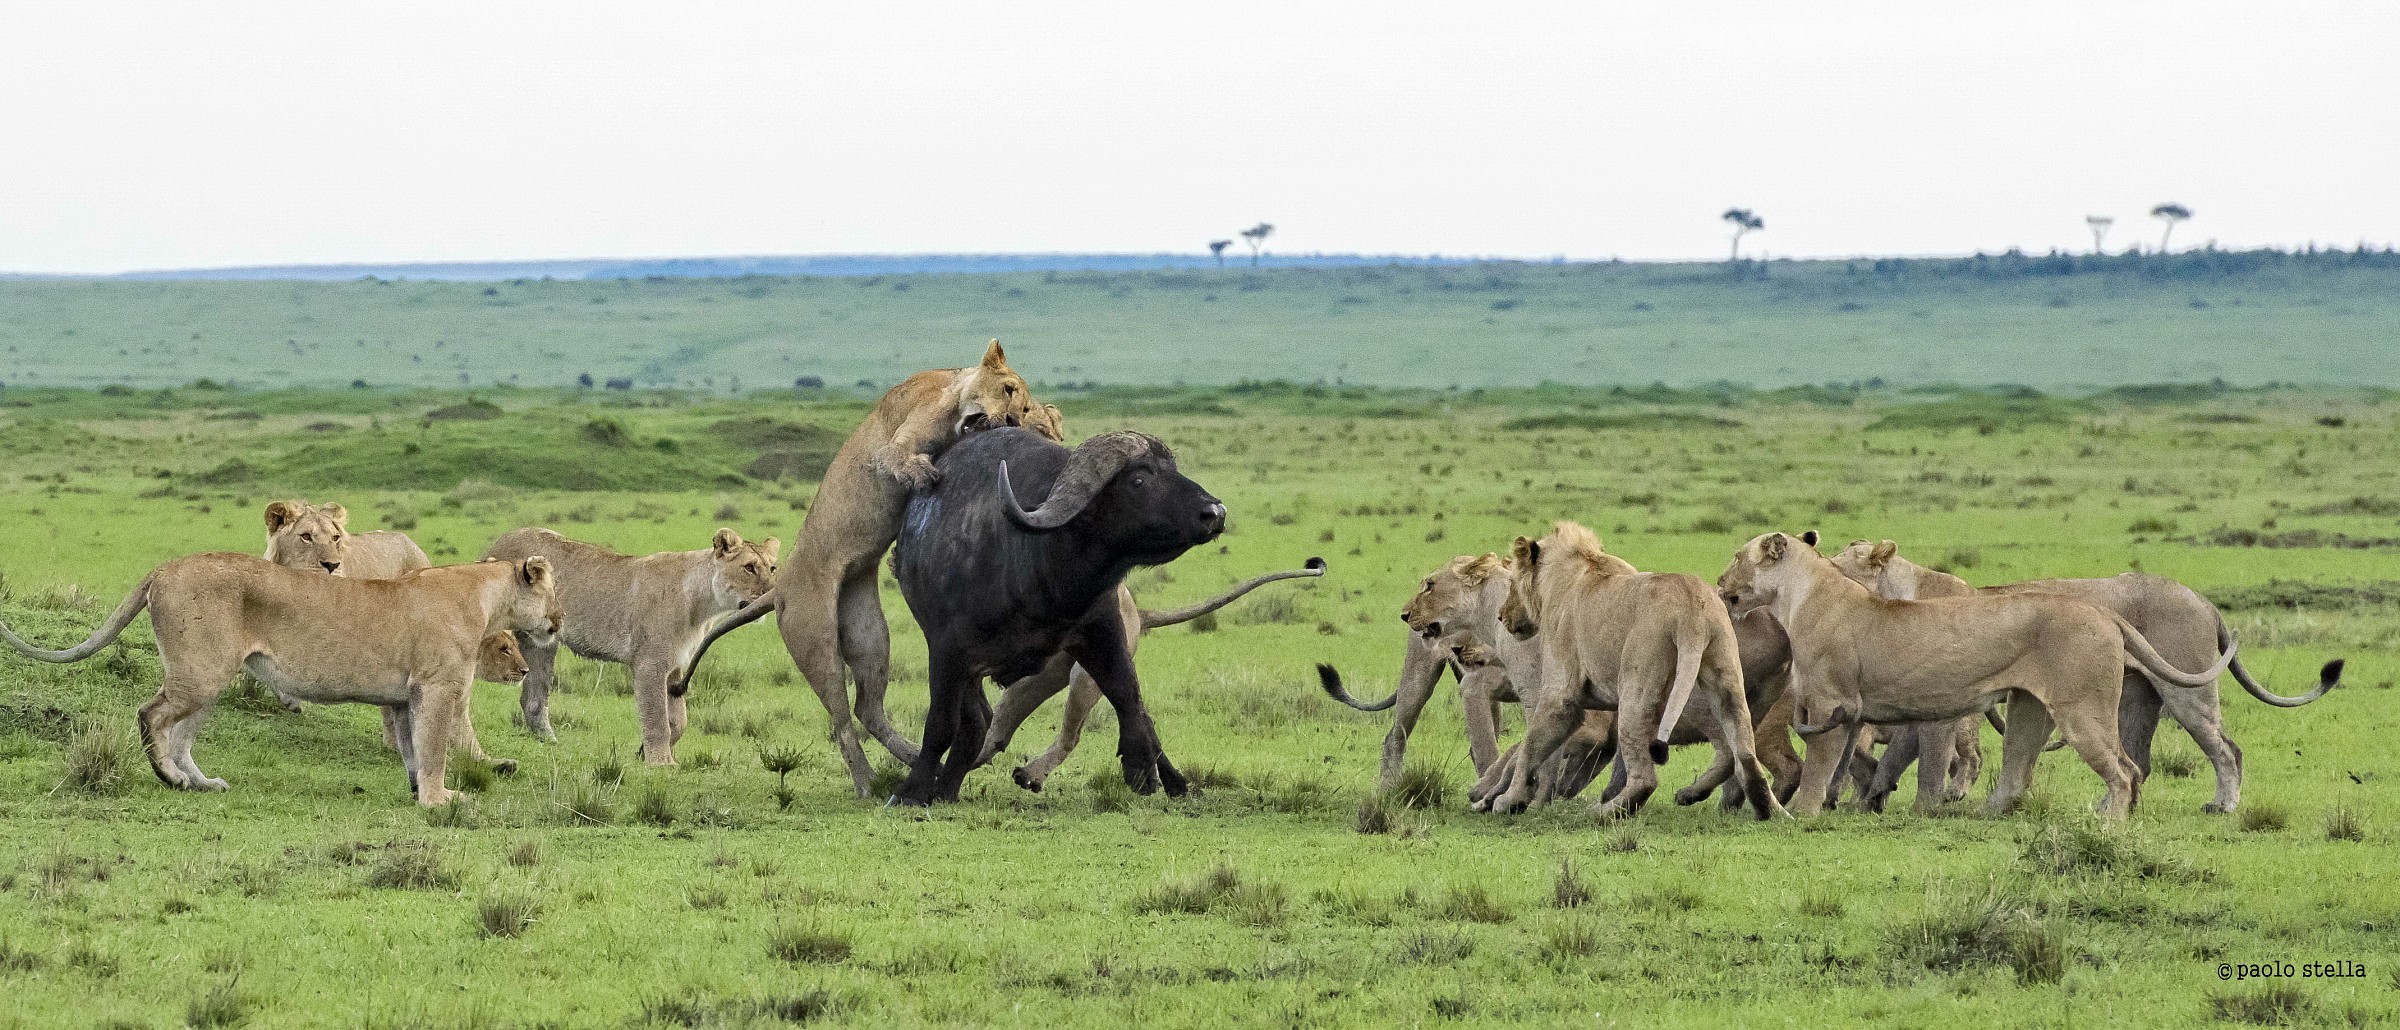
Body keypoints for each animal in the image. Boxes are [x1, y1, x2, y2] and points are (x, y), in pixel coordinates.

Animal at [886, 428, 1225, 806]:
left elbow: (1128, 696)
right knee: (974, 723)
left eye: (1172, 469)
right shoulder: (947, 651)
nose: (1215, 512)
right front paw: (912, 792)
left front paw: (1140, 765)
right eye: (1139, 478)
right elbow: (941, 723)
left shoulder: (1101, 629)